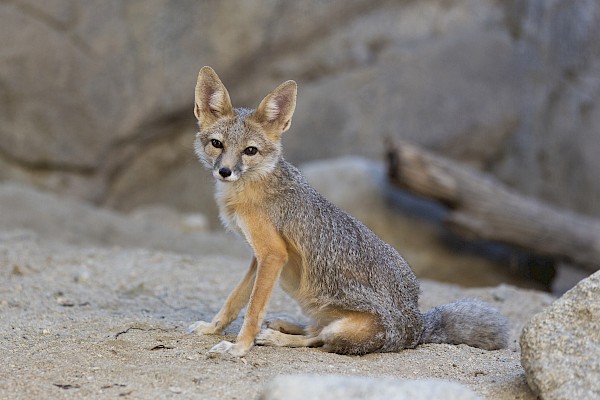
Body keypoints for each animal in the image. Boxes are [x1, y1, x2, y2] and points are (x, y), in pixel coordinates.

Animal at [190, 67, 508, 358]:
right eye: (217, 144)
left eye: (250, 151)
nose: (225, 171)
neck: (249, 188)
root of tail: (416, 326)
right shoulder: (259, 257)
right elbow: (235, 300)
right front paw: (212, 328)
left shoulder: (272, 254)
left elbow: (253, 309)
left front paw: (240, 347)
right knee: (312, 329)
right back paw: (284, 324)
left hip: (339, 327)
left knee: (316, 339)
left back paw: (277, 336)